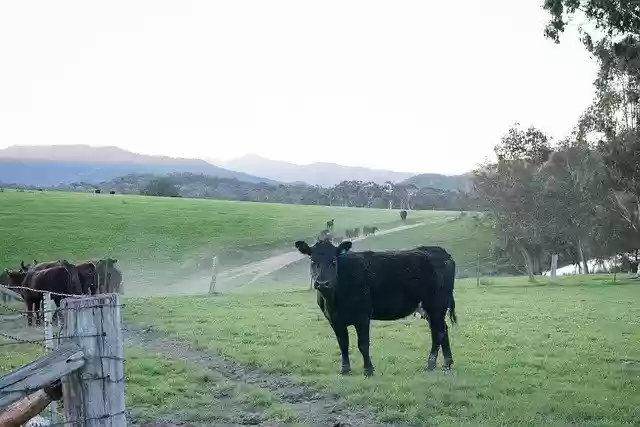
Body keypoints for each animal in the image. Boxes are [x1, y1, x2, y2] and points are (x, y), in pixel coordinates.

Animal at [294, 239, 457, 376]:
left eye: (333, 261)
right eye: (313, 261)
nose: (322, 283)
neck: (333, 300)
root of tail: (440, 251)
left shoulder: (363, 316)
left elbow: (363, 344)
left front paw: (368, 370)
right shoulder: (334, 320)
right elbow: (343, 344)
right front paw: (345, 370)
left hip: (436, 305)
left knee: (438, 333)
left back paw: (430, 364)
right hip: (432, 309)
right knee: (443, 329)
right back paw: (447, 363)